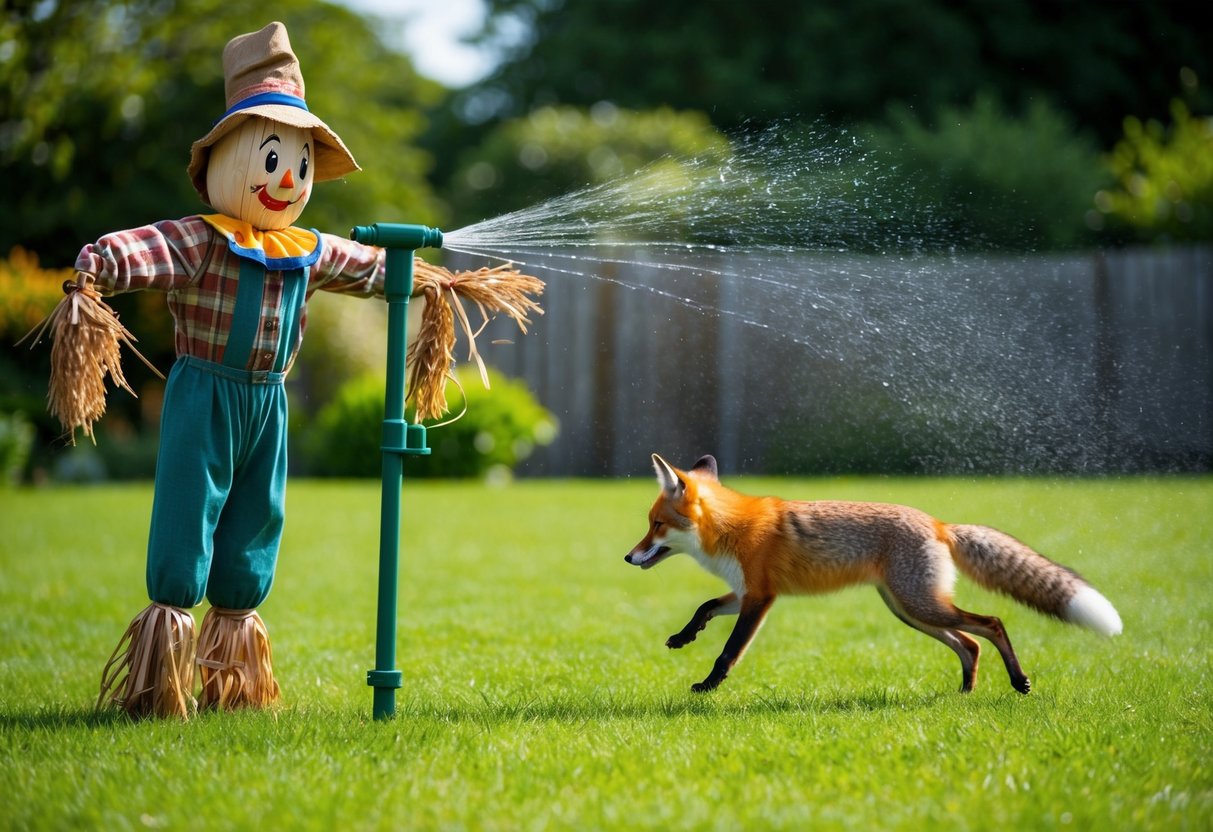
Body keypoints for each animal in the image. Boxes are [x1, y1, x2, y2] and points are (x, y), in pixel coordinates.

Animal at [625, 453, 1123, 694]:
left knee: (992, 624)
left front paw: (707, 688)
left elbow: (728, 652)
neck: (728, 530)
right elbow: (704, 606)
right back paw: (964, 693)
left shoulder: (761, 597)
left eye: (655, 525)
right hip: (909, 609)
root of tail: (939, 524)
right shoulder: (745, 590)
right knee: (970, 643)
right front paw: (683, 637)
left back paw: (1017, 682)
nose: (628, 558)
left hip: (920, 605)